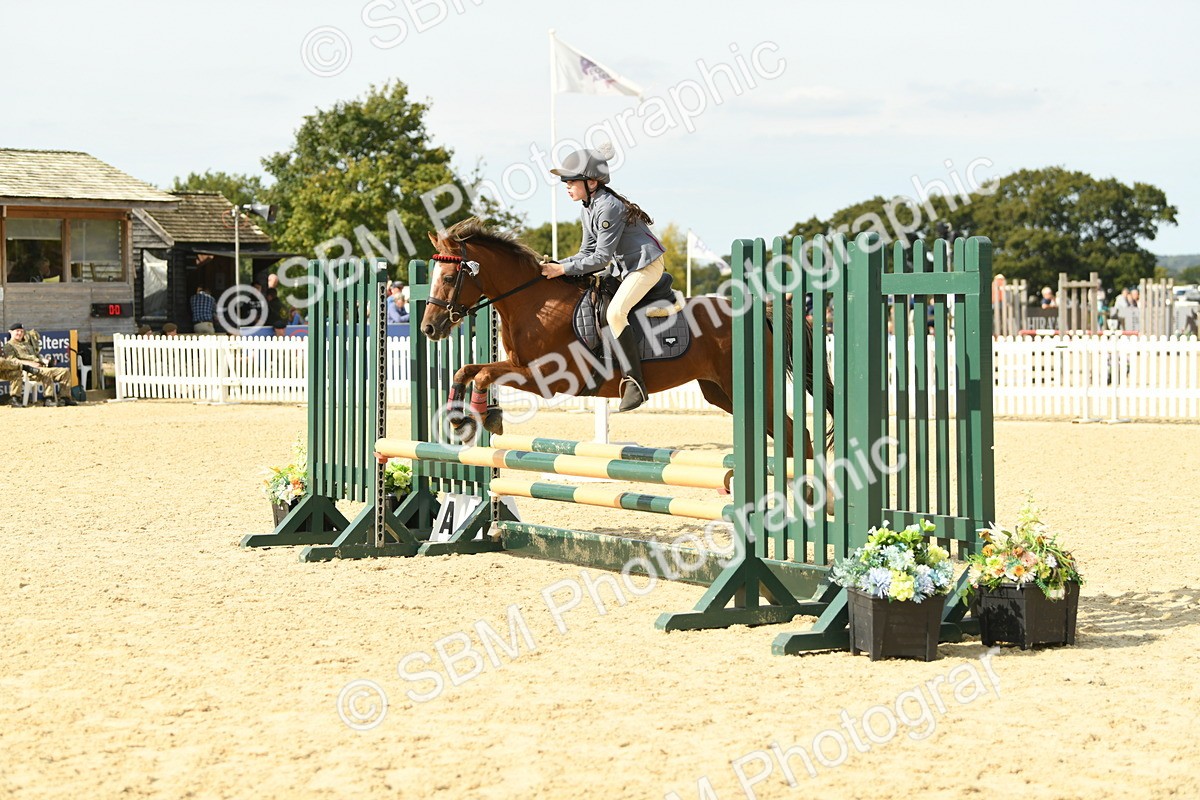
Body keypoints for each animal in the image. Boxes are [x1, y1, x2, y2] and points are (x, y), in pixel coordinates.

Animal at [420, 218, 834, 459]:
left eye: (449, 277)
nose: (428, 328)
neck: (535, 302)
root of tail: (761, 311)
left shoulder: (548, 377)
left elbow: (484, 374)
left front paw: (480, 418)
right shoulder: (520, 366)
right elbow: (466, 370)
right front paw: (462, 420)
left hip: (747, 388)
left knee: (795, 433)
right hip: (722, 392)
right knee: (789, 436)